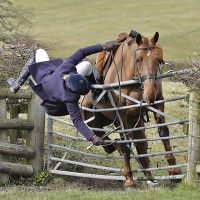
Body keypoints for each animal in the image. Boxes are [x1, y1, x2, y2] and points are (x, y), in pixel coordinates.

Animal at [81, 32, 181, 187]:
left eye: (158, 60)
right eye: (138, 59)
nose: (149, 94)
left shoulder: (158, 103)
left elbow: (164, 134)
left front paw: (174, 171)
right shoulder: (121, 113)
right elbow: (126, 143)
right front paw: (129, 179)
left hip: (135, 121)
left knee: (140, 146)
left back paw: (149, 176)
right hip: (91, 119)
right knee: (109, 143)